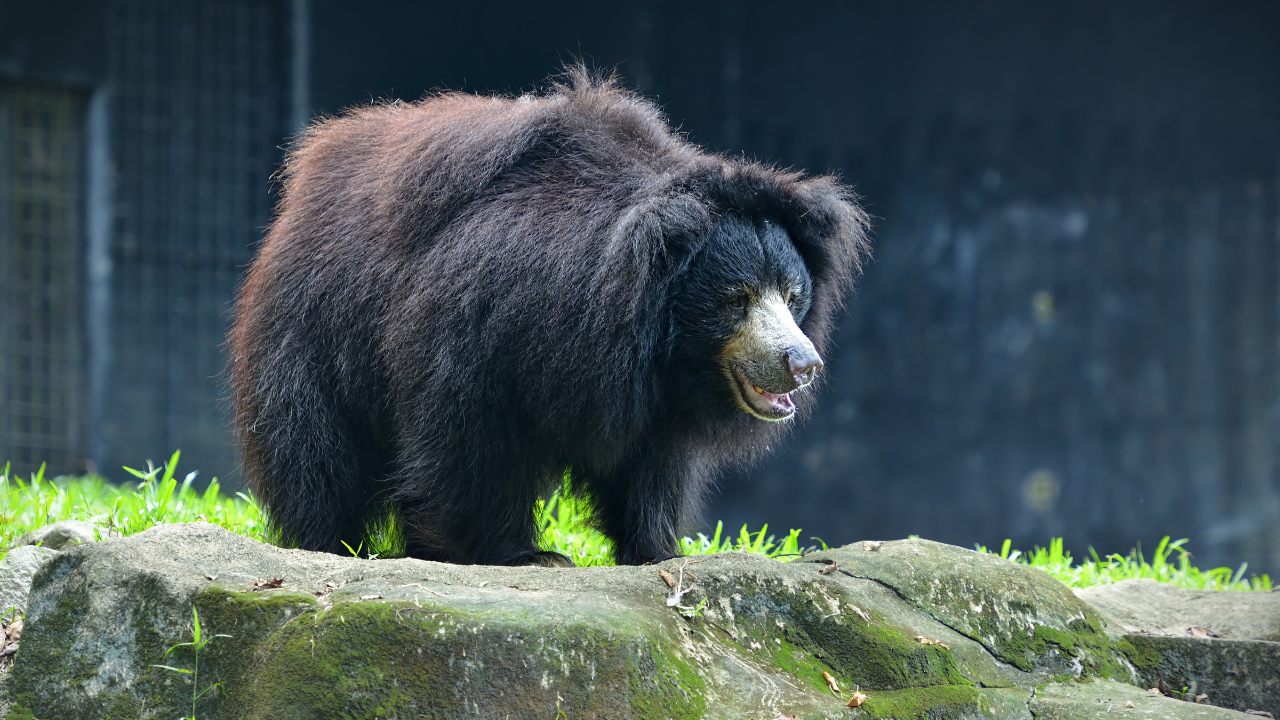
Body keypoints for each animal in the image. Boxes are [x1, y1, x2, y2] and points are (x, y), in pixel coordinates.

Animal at [230, 70, 870, 563]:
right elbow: (467, 439)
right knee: (318, 452)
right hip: (314, 331)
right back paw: (330, 543)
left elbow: (652, 465)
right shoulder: (479, 324)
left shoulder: (653, 394)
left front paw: (657, 551)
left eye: (791, 294)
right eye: (736, 299)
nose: (802, 364)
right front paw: (517, 553)